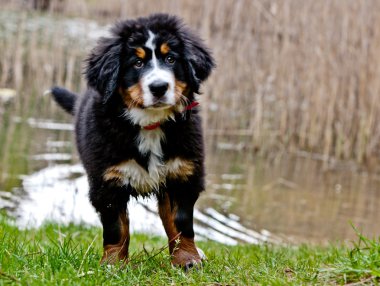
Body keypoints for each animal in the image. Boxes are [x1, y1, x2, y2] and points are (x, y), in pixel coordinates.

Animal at [50, 13, 215, 268]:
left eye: (170, 59)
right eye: (137, 63)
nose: (159, 87)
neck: (149, 124)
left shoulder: (182, 175)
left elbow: (180, 223)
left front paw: (187, 260)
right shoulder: (107, 182)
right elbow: (117, 228)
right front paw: (113, 264)